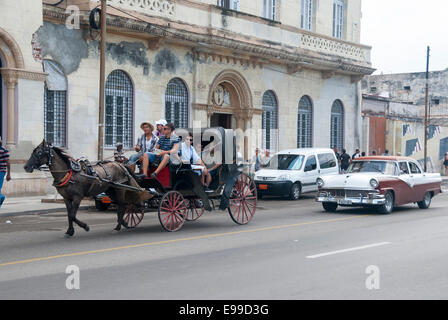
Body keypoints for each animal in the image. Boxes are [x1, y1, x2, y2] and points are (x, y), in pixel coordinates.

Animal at [24, 141, 152, 238]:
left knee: (122, 205)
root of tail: (121, 165)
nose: (26, 167)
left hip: (120, 189)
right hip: (111, 190)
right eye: (33, 152)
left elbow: (72, 215)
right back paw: (124, 222)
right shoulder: (66, 198)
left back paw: (118, 227)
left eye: (39, 153)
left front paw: (85, 226)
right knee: (122, 205)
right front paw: (69, 231)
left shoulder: (77, 197)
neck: (69, 174)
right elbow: (69, 215)